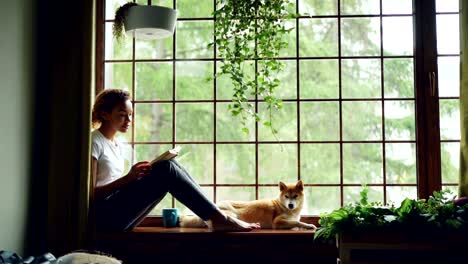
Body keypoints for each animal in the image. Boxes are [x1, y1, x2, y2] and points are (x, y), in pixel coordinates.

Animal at [181, 180, 316, 230]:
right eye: (287, 196)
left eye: (295, 196)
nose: (291, 205)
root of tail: (214, 204)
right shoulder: (277, 222)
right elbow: (297, 222)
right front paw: (308, 225)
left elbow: (296, 221)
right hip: (232, 215)